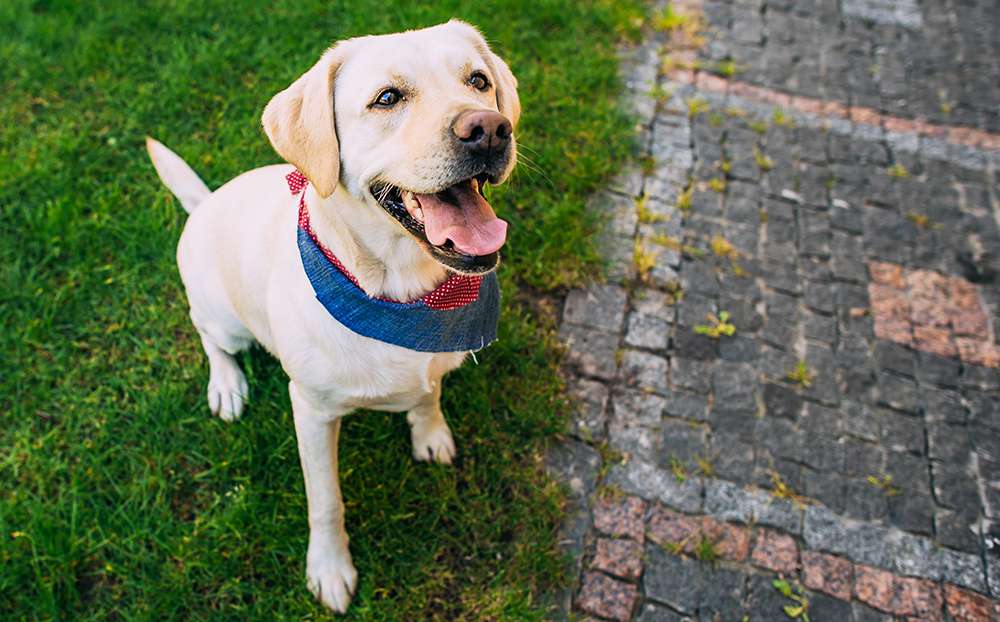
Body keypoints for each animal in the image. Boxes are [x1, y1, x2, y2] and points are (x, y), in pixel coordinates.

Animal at [148, 22, 524, 616]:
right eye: (387, 98)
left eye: (479, 81)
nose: (489, 129)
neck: (404, 295)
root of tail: (204, 204)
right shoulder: (312, 412)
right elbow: (325, 501)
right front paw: (329, 568)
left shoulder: (433, 366)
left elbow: (429, 396)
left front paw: (430, 433)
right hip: (220, 315)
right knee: (209, 337)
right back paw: (227, 385)